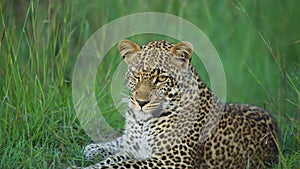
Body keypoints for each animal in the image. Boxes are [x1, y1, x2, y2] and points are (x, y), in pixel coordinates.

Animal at [78, 40, 278, 169]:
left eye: (161, 78)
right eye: (137, 76)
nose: (141, 102)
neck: (144, 122)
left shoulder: (174, 159)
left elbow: (124, 165)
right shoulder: (133, 150)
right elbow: (112, 161)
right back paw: (94, 148)